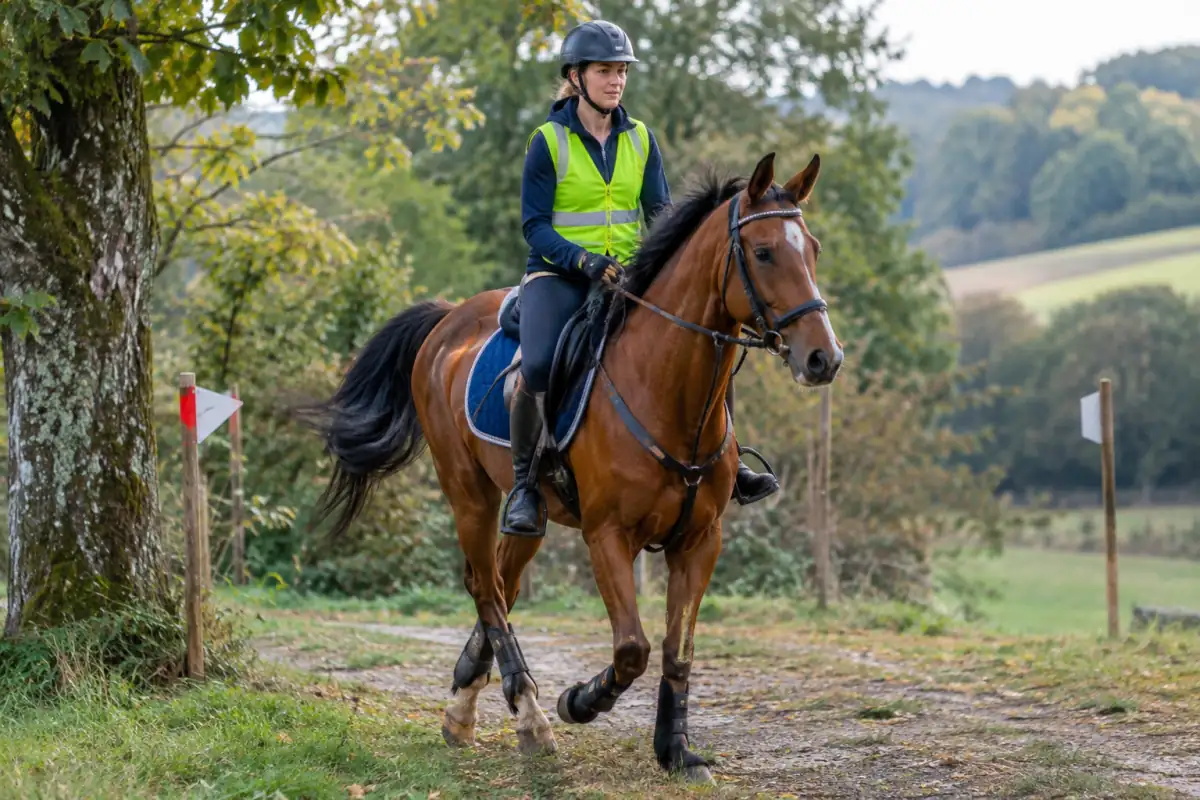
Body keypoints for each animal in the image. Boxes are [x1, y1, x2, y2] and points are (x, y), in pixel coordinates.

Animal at [308, 151, 844, 784]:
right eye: (762, 253)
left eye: (813, 249)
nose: (824, 358)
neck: (664, 392)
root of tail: (447, 319)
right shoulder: (607, 535)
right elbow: (632, 649)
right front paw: (579, 702)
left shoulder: (700, 540)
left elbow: (677, 651)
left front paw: (676, 752)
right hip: (470, 494)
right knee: (487, 589)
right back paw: (531, 717)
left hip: (530, 517)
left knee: (501, 582)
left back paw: (464, 706)